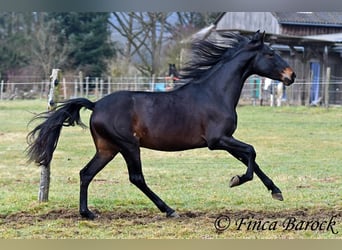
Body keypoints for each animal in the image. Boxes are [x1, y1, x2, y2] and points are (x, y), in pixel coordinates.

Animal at [26, 30, 296, 219]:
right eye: (270, 54)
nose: (291, 76)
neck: (215, 93)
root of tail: (96, 105)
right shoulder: (217, 140)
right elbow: (251, 152)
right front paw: (237, 180)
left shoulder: (226, 141)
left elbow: (251, 158)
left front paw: (275, 191)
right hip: (128, 146)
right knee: (136, 178)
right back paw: (169, 209)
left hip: (107, 148)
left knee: (86, 173)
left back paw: (87, 213)